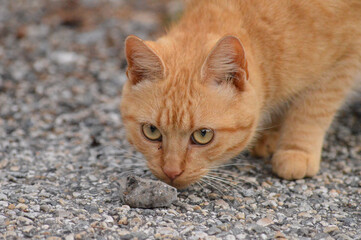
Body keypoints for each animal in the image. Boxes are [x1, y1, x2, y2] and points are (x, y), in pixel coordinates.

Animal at [121, 0, 360, 188]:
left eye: (203, 135)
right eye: (151, 131)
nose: (171, 172)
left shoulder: (345, 60)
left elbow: (312, 109)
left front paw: (296, 150)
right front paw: (273, 134)